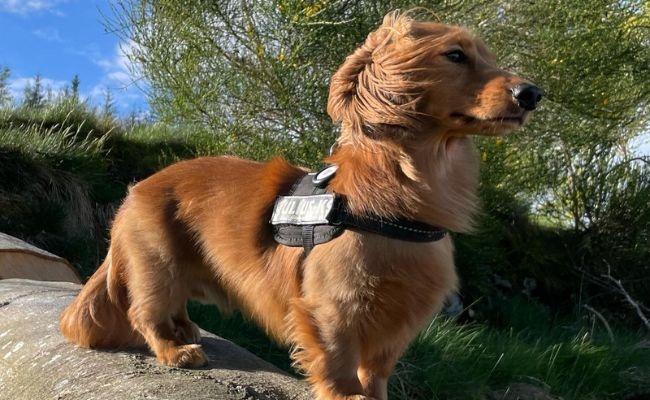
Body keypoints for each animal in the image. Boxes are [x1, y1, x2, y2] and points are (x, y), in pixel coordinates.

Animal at [60, 10, 540, 400]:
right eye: (455, 55)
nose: (532, 93)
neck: (402, 192)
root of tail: (137, 189)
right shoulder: (334, 307)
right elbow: (339, 360)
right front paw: (346, 394)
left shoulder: (398, 319)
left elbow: (377, 369)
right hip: (158, 265)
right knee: (145, 313)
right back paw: (175, 348)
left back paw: (185, 329)